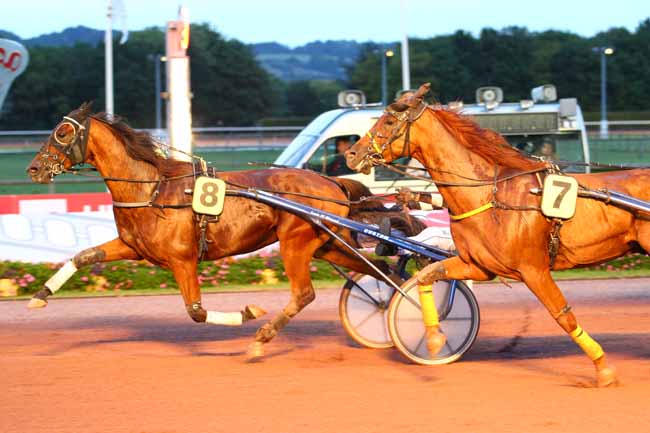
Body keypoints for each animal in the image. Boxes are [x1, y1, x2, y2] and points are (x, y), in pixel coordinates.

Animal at [26, 102, 401, 359]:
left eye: (62, 133)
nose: (34, 169)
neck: (153, 189)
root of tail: (331, 181)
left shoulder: (183, 260)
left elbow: (197, 311)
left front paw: (249, 313)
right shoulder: (133, 247)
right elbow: (83, 256)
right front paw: (39, 296)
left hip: (295, 242)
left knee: (304, 294)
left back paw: (263, 336)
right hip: (326, 244)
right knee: (378, 268)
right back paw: (387, 307)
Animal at [345, 83, 650, 386]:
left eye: (388, 120)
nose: (351, 154)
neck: (490, 195)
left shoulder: (533, 269)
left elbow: (564, 316)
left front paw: (604, 370)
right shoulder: (477, 265)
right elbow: (426, 276)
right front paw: (434, 339)